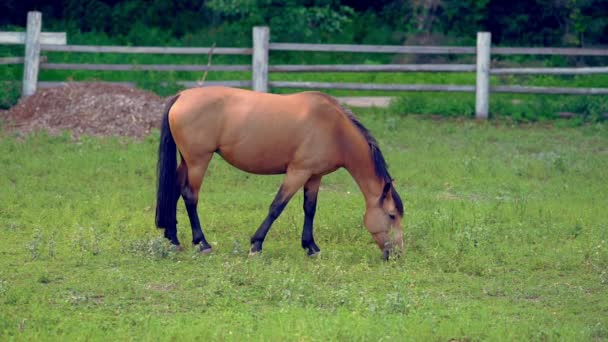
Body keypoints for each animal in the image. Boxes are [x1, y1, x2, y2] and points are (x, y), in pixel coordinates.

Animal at [156, 86, 404, 260]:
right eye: (392, 215)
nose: (398, 254)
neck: (335, 130)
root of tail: (182, 96)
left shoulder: (314, 176)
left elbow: (310, 209)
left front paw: (311, 247)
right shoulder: (297, 172)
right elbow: (277, 207)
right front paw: (256, 245)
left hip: (187, 161)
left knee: (174, 191)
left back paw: (173, 240)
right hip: (198, 161)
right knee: (190, 196)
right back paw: (202, 244)